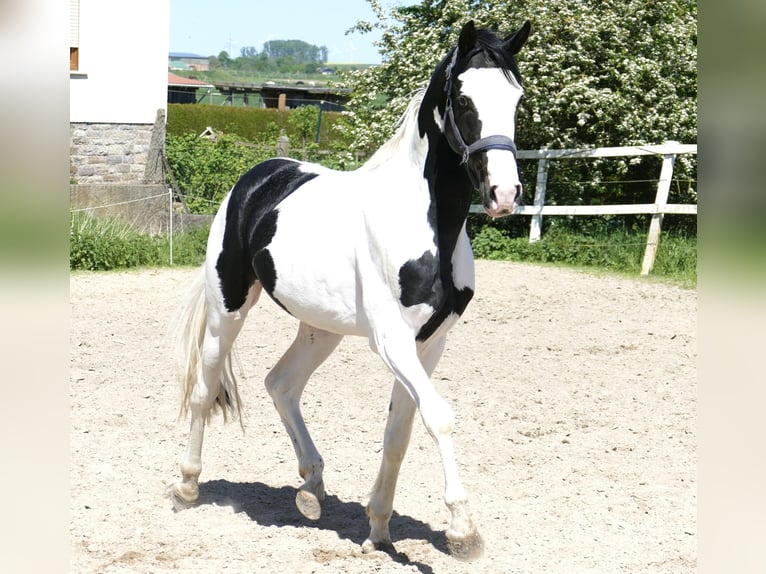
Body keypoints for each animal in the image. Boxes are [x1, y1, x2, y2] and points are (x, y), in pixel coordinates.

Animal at [172, 20, 536, 560]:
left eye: (516, 97)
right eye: (464, 98)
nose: (504, 195)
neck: (426, 224)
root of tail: (257, 177)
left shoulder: (429, 344)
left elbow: (400, 432)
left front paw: (379, 527)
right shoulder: (391, 340)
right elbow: (440, 417)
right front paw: (462, 530)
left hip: (320, 329)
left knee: (281, 384)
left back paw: (310, 487)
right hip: (228, 310)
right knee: (204, 388)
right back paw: (188, 485)